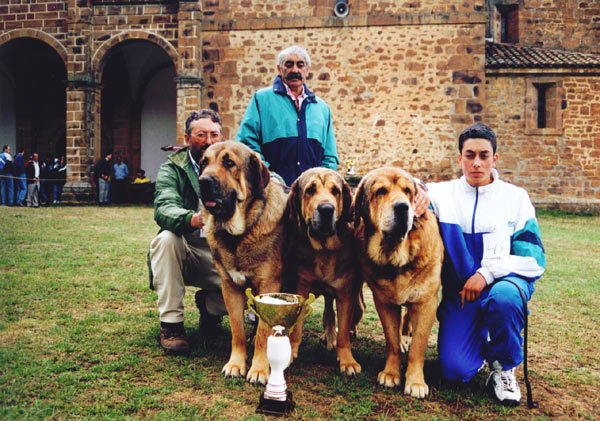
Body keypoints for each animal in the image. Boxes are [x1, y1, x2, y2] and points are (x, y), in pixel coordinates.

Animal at [198, 141, 288, 384]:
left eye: (229, 163)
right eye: (204, 163)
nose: (203, 181)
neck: (238, 235)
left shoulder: (269, 287)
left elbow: (263, 334)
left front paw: (259, 369)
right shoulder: (230, 287)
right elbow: (237, 330)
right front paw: (235, 364)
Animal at [286, 167, 366, 374]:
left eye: (335, 191)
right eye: (310, 190)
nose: (327, 209)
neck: (324, 250)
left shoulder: (345, 292)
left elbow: (343, 330)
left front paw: (347, 361)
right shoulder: (301, 287)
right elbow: (296, 328)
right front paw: (291, 352)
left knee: (357, 309)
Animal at [354, 166, 442, 396]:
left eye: (407, 191)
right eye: (381, 191)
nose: (403, 207)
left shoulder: (426, 303)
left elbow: (418, 346)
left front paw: (416, 382)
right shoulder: (384, 302)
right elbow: (391, 341)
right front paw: (391, 374)